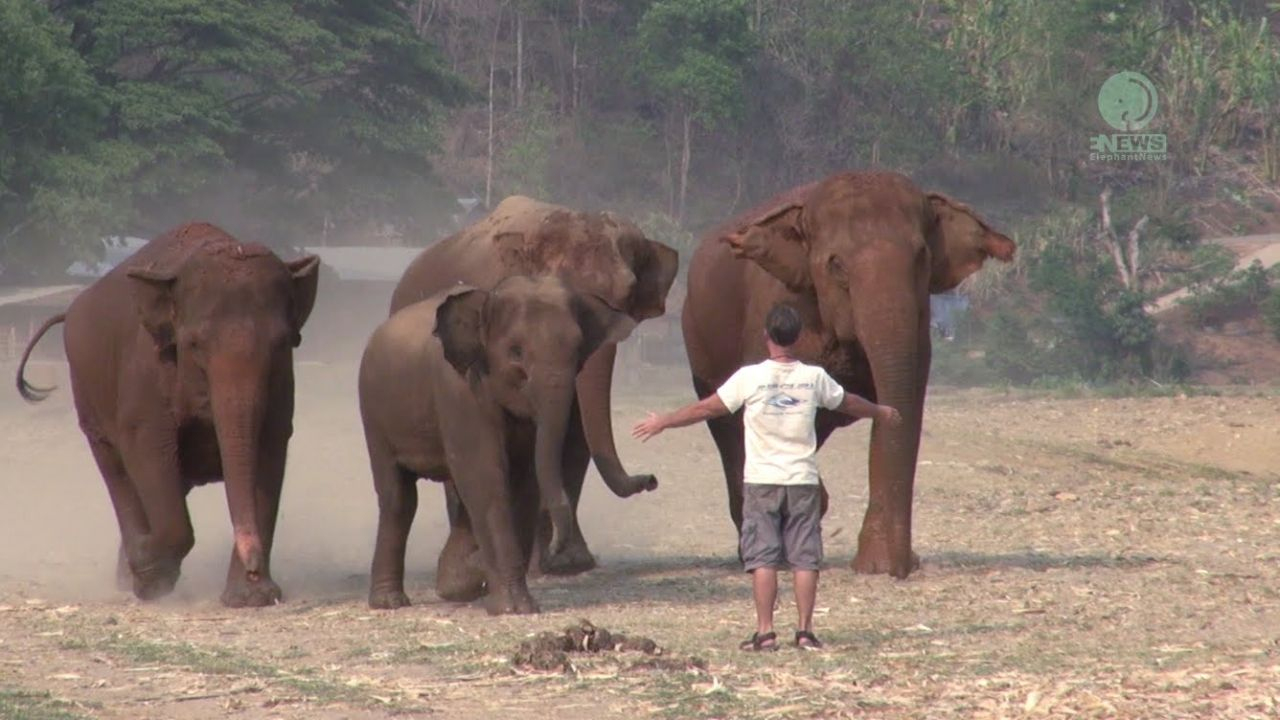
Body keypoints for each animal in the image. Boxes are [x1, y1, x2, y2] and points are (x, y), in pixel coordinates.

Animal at [15, 220, 320, 604]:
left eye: (282, 343)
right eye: (195, 344)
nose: (255, 570)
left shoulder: (281, 383)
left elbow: (269, 449)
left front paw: (252, 598)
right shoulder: (146, 373)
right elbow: (148, 447)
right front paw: (148, 571)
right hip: (86, 392)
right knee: (117, 471)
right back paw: (138, 574)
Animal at [358, 274, 637, 609]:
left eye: (579, 350)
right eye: (516, 352)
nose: (651, 480)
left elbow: (525, 480)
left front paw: (479, 583)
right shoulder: (458, 388)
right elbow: (485, 476)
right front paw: (514, 608)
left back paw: (453, 585)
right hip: (373, 412)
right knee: (398, 497)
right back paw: (391, 602)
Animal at [686, 172, 1013, 576]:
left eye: (921, 257)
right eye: (836, 265)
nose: (905, 567)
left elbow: (904, 404)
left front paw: (874, 566)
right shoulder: (773, 312)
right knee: (727, 431)